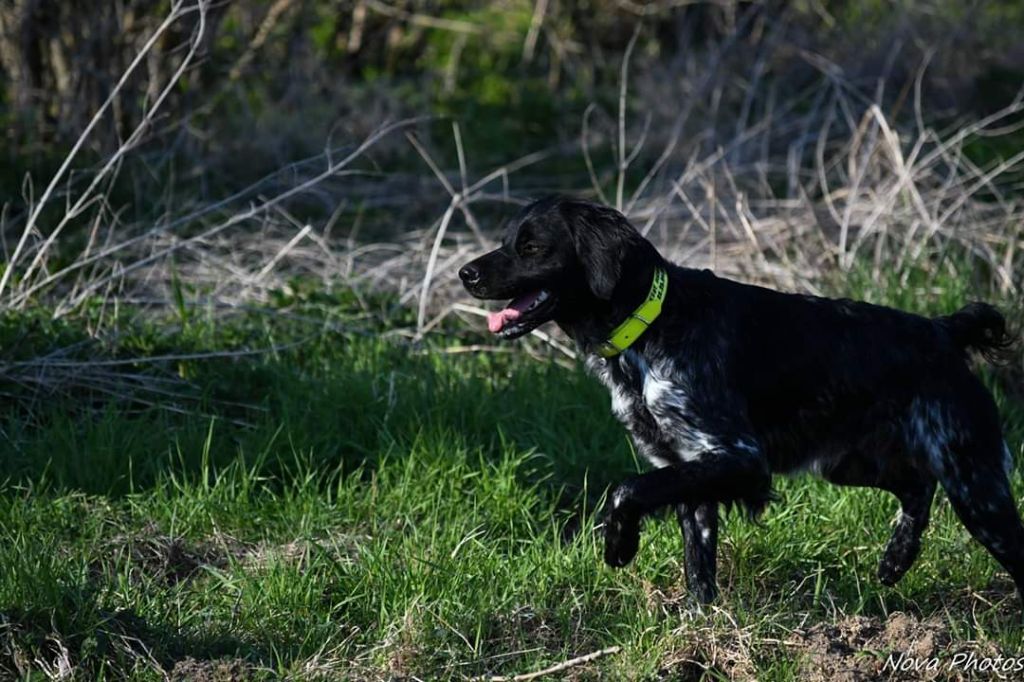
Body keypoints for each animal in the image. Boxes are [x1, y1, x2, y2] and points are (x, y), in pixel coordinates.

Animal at [462, 196, 1024, 606]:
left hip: (975, 484)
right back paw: (896, 559)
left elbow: (625, 489)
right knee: (917, 487)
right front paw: (698, 628)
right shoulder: (686, 467)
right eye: (506, 241)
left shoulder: (740, 457)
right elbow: (697, 564)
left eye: (532, 247)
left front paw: (620, 544)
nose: (466, 273)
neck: (650, 329)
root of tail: (944, 329)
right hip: (850, 463)